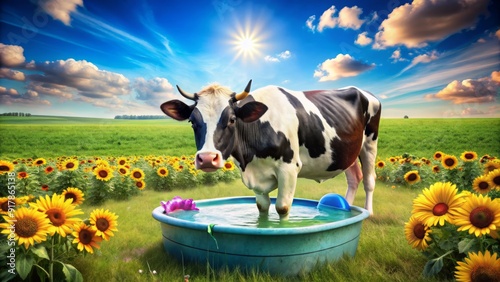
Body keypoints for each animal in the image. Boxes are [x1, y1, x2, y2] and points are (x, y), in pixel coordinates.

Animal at [162, 80, 380, 219]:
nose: (207, 158)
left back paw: (368, 213)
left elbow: (282, 208)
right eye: (192, 121)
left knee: (369, 180)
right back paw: (346, 210)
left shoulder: (289, 168)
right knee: (354, 178)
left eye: (232, 119)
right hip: (347, 151)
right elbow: (262, 207)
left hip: (370, 143)